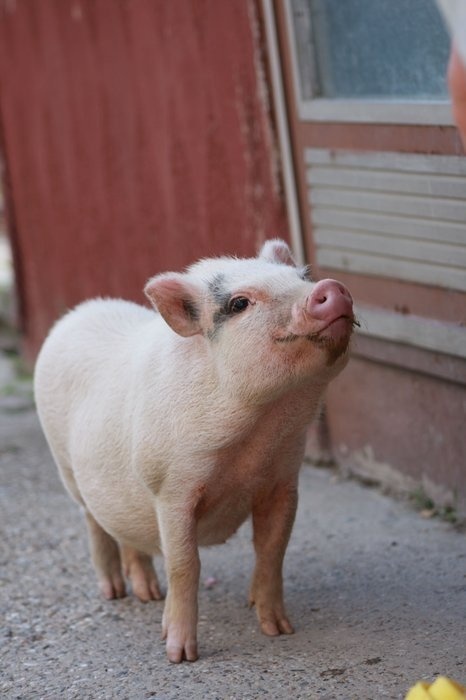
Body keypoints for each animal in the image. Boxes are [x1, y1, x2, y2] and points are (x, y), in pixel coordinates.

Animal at [34, 239, 354, 660]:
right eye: (239, 303)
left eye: (302, 277)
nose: (330, 287)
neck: (256, 435)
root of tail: (74, 315)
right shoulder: (169, 488)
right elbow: (186, 564)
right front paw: (180, 656)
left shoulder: (283, 478)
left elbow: (272, 550)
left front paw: (278, 630)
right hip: (66, 468)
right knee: (93, 522)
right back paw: (114, 593)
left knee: (124, 531)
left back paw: (148, 595)